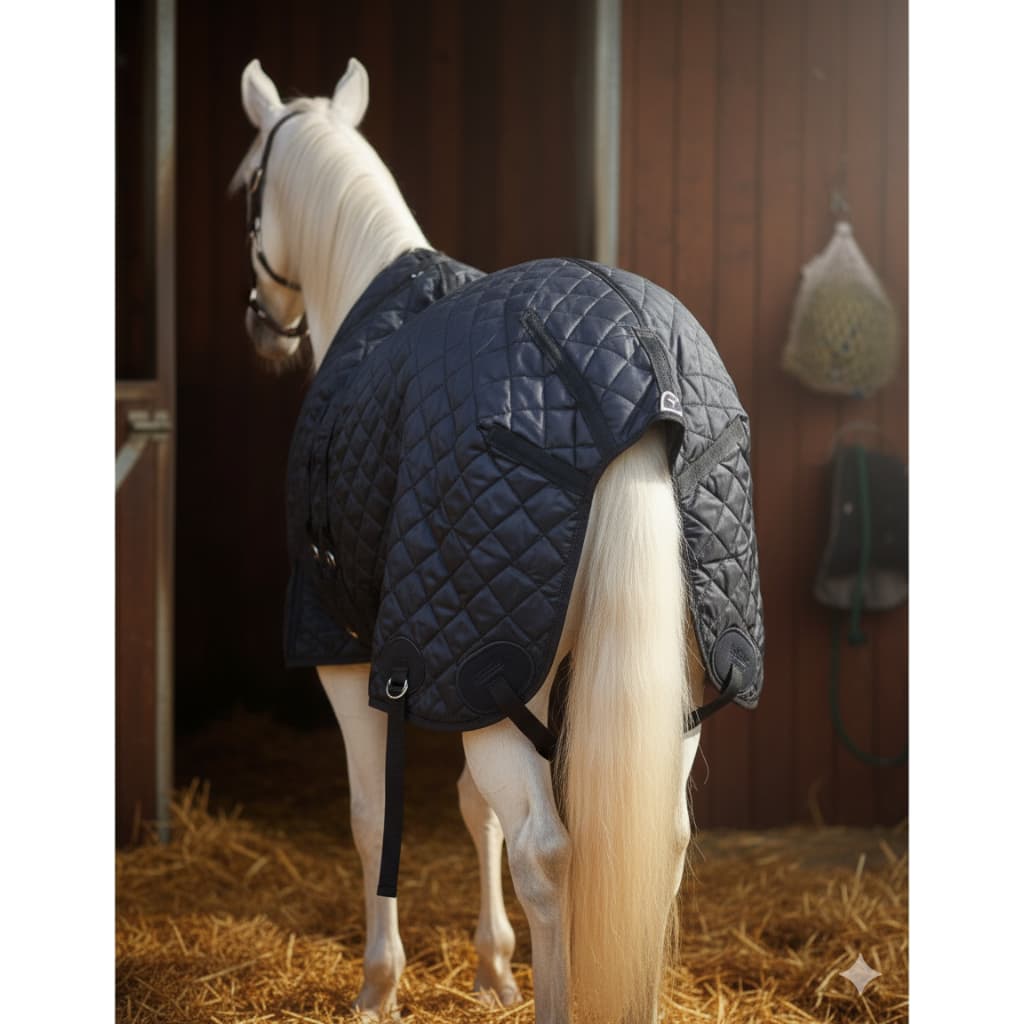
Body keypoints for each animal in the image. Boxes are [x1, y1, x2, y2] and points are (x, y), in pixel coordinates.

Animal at [231, 57, 763, 1024]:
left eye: (250, 185)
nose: (262, 323)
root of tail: (633, 372)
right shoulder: (451, 681)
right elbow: (471, 807)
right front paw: (492, 969)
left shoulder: (356, 660)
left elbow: (372, 817)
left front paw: (378, 986)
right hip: (676, 683)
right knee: (660, 845)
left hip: (489, 668)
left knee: (546, 853)